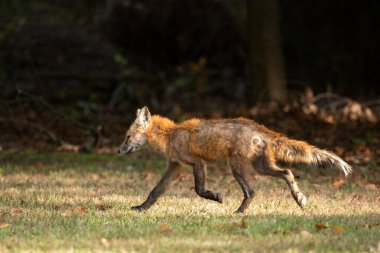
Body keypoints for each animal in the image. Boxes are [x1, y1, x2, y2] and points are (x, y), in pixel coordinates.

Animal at [119, 105, 354, 212]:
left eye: (127, 136)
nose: (119, 151)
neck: (170, 134)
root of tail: (258, 126)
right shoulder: (175, 166)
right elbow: (155, 191)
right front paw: (141, 208)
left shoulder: (197, 162)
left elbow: (199, 189)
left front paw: (215, 197)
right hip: (261, 167)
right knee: (288, 172)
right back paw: (299, 198)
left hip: (236, 167)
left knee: (252, 191)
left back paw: (239, 212)